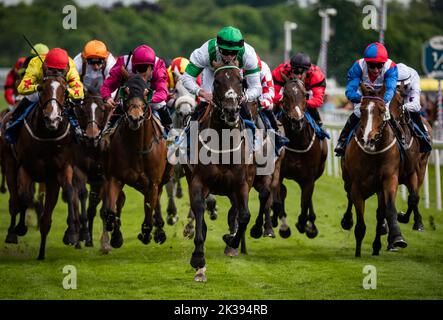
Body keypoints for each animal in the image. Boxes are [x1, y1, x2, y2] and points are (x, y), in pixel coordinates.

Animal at [1, 71, 78, 258]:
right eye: (41, 89)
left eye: (65, 90)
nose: (52, 119)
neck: (47, 137)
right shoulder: (26, 167)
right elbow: (25, 197)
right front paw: (21, 227)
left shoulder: (61, 169)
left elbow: (69, 191)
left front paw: (71, 234)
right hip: (9, 163)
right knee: (15, 199)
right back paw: (13, 232)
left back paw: (41, 252)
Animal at [100, 75, 172, 252]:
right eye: (125, 91)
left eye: (147, 92)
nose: (135, 118)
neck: (138, 147)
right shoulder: (115, 177)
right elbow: (111, 210)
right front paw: (115, 235)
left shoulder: (153, 183)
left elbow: (149, 212)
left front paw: (148, 233)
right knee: (120, 201)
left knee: (157, 199)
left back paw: (159, 230)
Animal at [185, 62, 256, 280]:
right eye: (217, 81)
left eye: (241, 81)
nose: (231, 110)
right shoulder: (198, 182)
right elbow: (199, 210)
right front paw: (198, 259)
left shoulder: (241, 185)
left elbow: (245, 215)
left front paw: (231, 240)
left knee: (236, 211)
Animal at [270, 79, 330, 240]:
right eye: (285, 95)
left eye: (305, 95)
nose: (297, 122)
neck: (296, 141)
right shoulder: (280, 172)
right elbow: (280, 194)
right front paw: (283, 226)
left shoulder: (309, 178)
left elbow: (304, 203)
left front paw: (305, 224)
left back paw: (311, 224)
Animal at [340, 84, 410, 256]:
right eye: (362, 109)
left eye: (381, 110)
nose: (368, 139)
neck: (373, 151)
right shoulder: (357, 186)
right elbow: (360, 223)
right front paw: (358, 252)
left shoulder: (389, 179)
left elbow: (388, 209)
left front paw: (397, 237)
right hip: (347, 180)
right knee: (349, 197)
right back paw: (347, 221)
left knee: (380, 213)